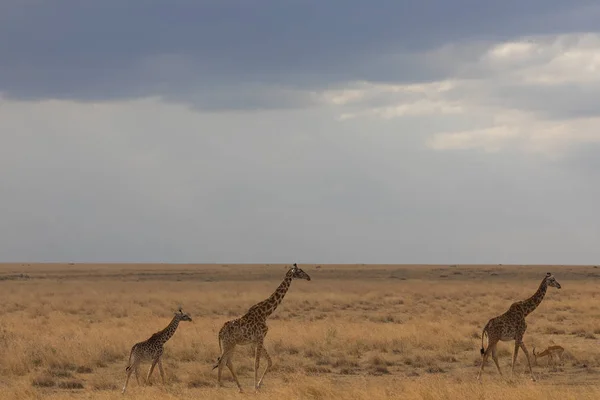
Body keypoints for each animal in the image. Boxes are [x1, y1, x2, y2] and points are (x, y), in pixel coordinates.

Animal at [212, 262, 314, 390]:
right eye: (300, 271)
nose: (309, 277)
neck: (265, 313)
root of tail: (220, 332)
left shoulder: (257, 340)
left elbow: (269, 361)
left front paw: (259, 384)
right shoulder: (260, 338)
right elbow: (257, 363)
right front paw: (255, 387)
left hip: (231, 344)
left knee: (227, 361)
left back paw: (240, 388)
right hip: (228, 343)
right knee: (222, 361)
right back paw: (219, 387)